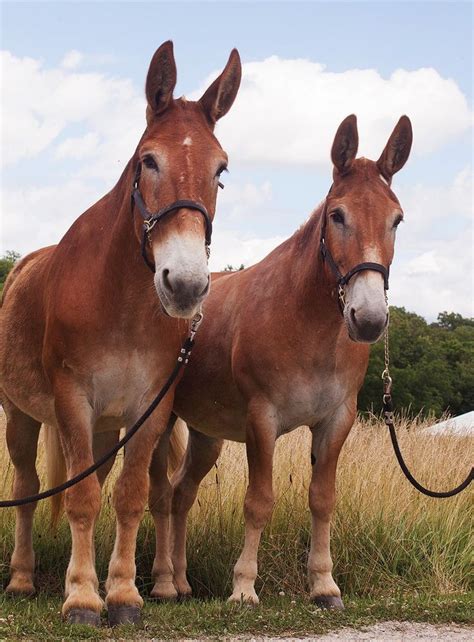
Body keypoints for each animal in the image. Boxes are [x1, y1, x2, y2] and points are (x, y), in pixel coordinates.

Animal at [0, 41, 241, 626]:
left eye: (221, 170)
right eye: (147, 160)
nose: (185, 284)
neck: (123, 307)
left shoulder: (148, 409)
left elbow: (128, 496)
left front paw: (124, 593)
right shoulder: (71, 400)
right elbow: (81, 497)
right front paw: (83, 598)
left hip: (106, 429)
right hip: (21, 415)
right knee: (27, 487)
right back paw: (21, 578)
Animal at [151, 114, 413, 607]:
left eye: (397, 219)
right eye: (338, 215)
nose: (369, 319)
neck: (308, 326)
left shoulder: (336, 420)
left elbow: (323, 499)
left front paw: (324, 584)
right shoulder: (262, 419)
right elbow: (258, 502)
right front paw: (243, 587)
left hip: (206, 435)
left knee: (180, 494)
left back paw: (180, 579)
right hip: (160, 421)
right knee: (157, 490)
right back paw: (161, 583)